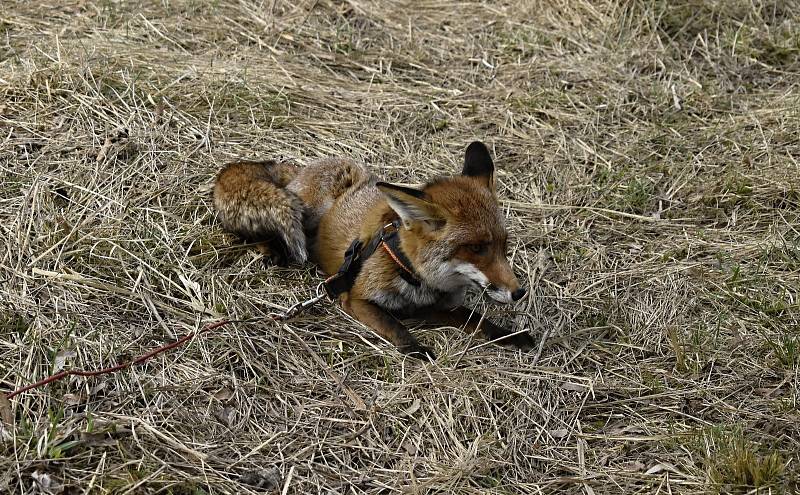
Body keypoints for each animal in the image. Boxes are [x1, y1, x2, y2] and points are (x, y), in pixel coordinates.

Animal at [216, 141, 536, 358]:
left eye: (504, 246)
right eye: (476, 248)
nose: (519, 292)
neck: (411, 272)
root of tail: (302, 168)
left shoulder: (430, 309)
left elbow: (476, 319)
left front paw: (509, 335)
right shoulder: (357, 299)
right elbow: (394, 326)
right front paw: (417, 350)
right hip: (309, 209)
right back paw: (269, 248)